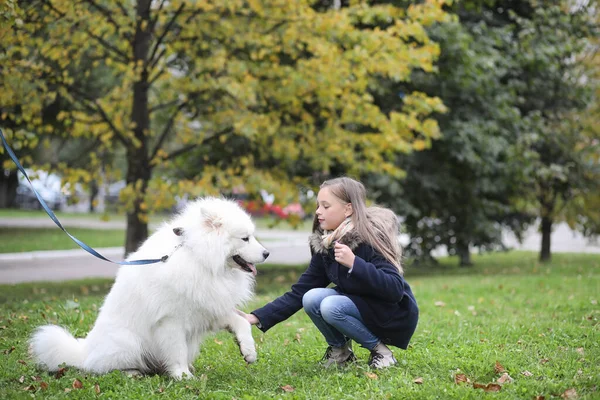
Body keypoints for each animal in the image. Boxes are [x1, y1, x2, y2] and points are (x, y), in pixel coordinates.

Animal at [29, 198, 270, 380]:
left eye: (252, 236)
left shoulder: (207, 308)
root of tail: (83, 351)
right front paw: (183, 376)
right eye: (245, 238)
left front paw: (248, 351)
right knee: (100, 368)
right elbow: (177, 351)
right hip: (128, 342)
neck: (198, 257)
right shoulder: (171, 321)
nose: (267, 253)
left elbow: (240, 322)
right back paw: (132, 372)